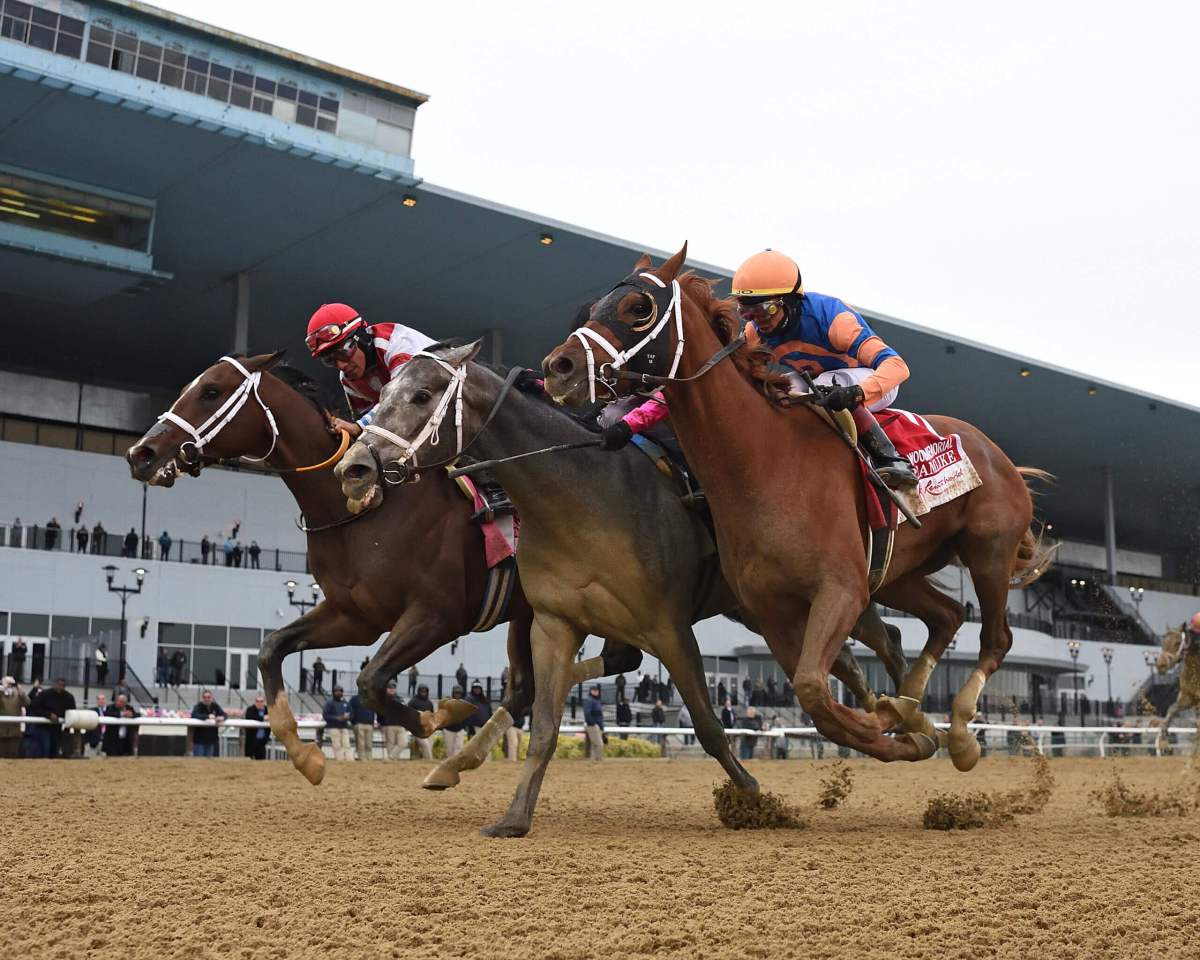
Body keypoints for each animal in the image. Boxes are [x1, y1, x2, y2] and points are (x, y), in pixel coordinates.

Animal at [125, 352, 643, 787]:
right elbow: (272, 650)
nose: (141, 454)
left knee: (607, 664)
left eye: (211, 391)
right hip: (527, 610)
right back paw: (454, 763)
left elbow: (371, 681)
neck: (362, 511)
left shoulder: (437, 615)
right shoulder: (355, 616)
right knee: (534, 685)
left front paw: (442, 712)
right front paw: (305, 755)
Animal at [333, 340, 902, 835]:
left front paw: (755, 797)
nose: (355, 468)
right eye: (381, 395)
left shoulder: (668, 626)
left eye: (422, 395)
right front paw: (514, 817)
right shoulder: (553, 622)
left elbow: (707, 723)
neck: (581, 494)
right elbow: (544, 725)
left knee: (877, 643)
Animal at [540, 247, 1056, 772]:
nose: (558, 367)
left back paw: (960, 733)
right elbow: (816, 699)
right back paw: (910, 705)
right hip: (899, 572)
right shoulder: (770, 610)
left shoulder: (840, 589)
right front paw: (899, 726)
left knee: (995, 638)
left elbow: (813, 688)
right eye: (595, 306)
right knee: (947, 616)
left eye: (638, 308)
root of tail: (998, 454)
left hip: (987, 551)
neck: (762, 464)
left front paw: (893, 726)